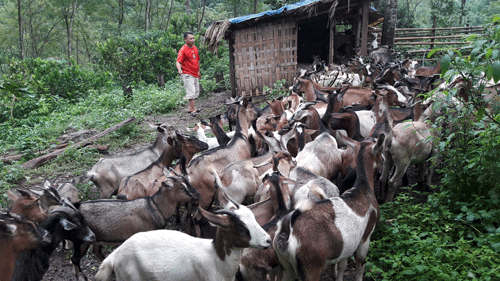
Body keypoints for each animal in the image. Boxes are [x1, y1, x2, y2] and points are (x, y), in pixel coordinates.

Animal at [70, 174, 199, 276]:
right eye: (182, 187)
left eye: (188, 181)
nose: (197, 194)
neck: (155, 207)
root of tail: (76, 207)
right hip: (81, 240)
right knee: (74, 259)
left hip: (97, 238)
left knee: (96, 251)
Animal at [274, 135, 382, 278]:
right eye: (380, 150)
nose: (384, 160)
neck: (363, 188)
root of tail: (287, 232)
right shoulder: (366, 237)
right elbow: (360, 266)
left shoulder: (346, 248)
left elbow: (342, 266)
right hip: (311, 267)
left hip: (286, 267)